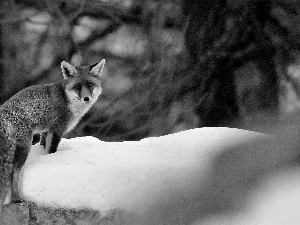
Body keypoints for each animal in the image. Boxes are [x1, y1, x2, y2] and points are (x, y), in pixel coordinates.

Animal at [0, 59, 105, 215]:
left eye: (90, 85)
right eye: (77, 87)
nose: (86, 98)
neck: (66, 99)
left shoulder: (45, 131)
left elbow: (44, 148)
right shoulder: (57, 130)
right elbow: (52, 151)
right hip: (24, 147)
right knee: (14, 173)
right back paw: (17, 199)